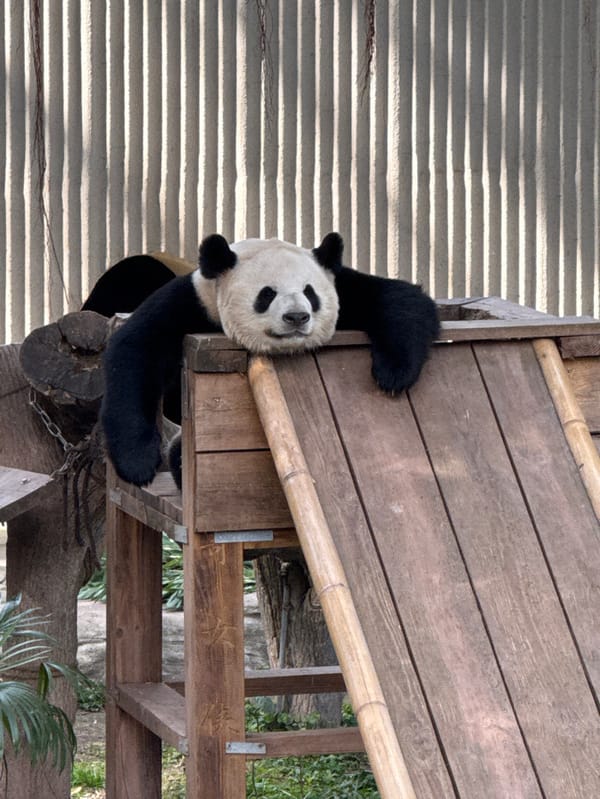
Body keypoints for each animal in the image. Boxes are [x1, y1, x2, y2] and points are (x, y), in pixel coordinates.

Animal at [96, 232, 439, 489]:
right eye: (267, 294)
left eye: (310, 293)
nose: (297, 317)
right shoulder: (193, 303)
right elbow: (135, 352)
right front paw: (137, 463)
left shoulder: (344, 288)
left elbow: (399, 297)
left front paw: (394, 372)